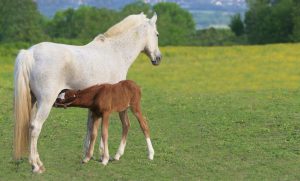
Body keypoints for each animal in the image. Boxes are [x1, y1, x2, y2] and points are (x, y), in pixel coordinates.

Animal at [13, 12, 162, 173]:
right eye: (157, 34)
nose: (158, 58)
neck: (115, 52)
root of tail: (30, 53)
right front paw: (103, 155)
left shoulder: (94, 104)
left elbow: (91, 126)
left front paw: (88, 154)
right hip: (45, 102)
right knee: (35, 127)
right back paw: (36, 166)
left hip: (32, 101)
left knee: (29, 127)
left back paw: (35, 162)